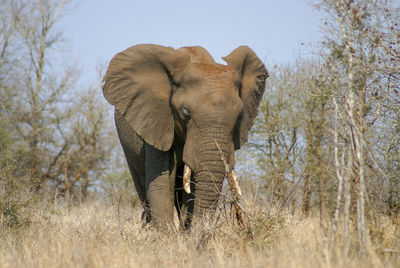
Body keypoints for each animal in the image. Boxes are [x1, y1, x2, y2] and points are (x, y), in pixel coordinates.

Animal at [101, 43, 268, 228]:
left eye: (239, 117)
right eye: (186, 113)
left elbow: (192, 189)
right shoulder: (156, 120)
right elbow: (161, 184)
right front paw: (166, 235)